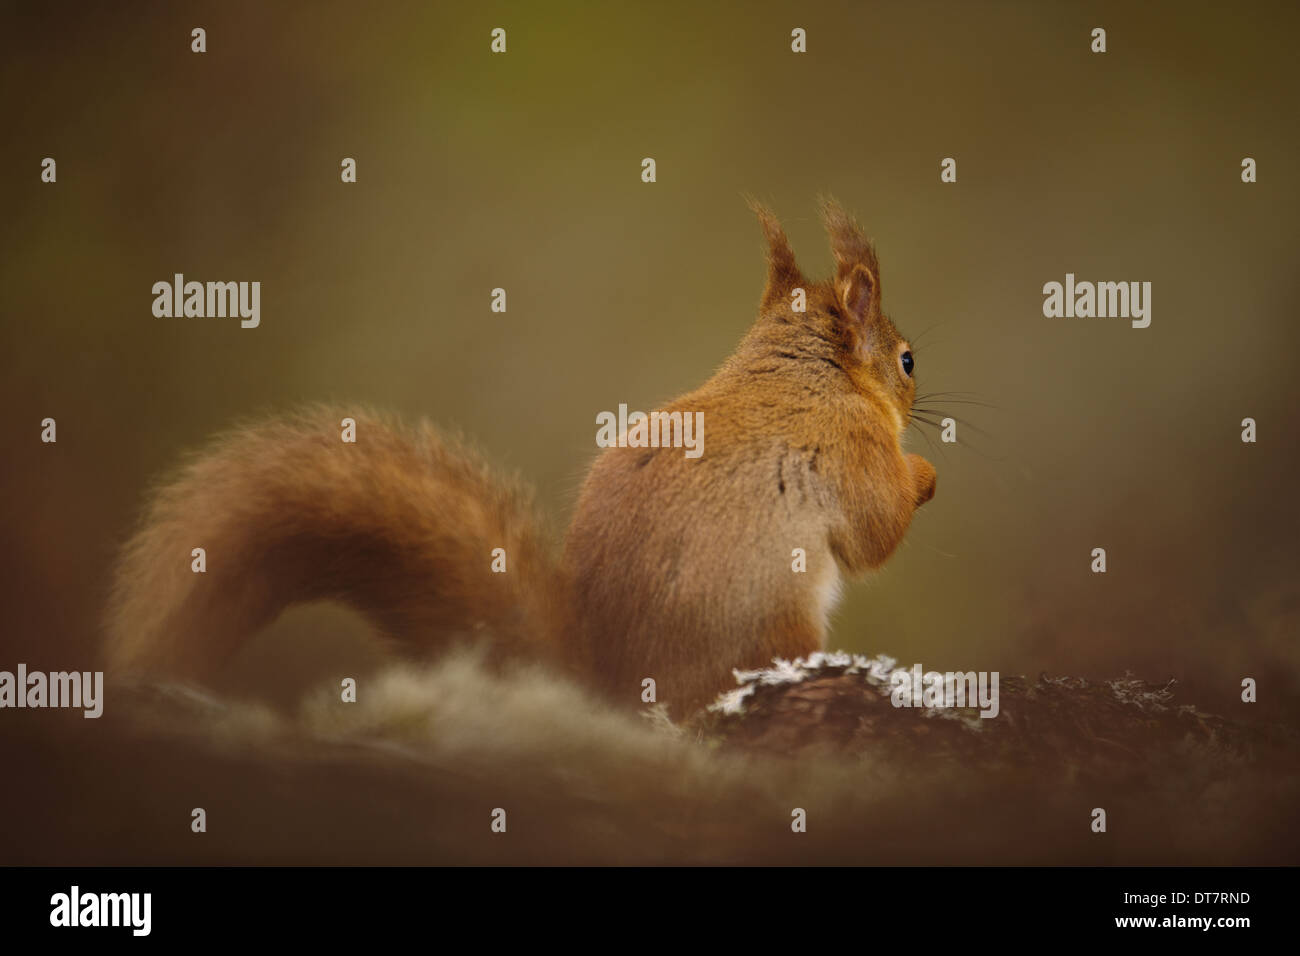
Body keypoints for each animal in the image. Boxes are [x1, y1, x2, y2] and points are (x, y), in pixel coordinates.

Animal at [105, 199, 936, 719]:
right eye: (906, 360)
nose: (920, 402)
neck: (797, 374)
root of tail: (607, 687)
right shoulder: (852, 451)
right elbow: (875, 533)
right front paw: (924, 475)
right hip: (778, 620)